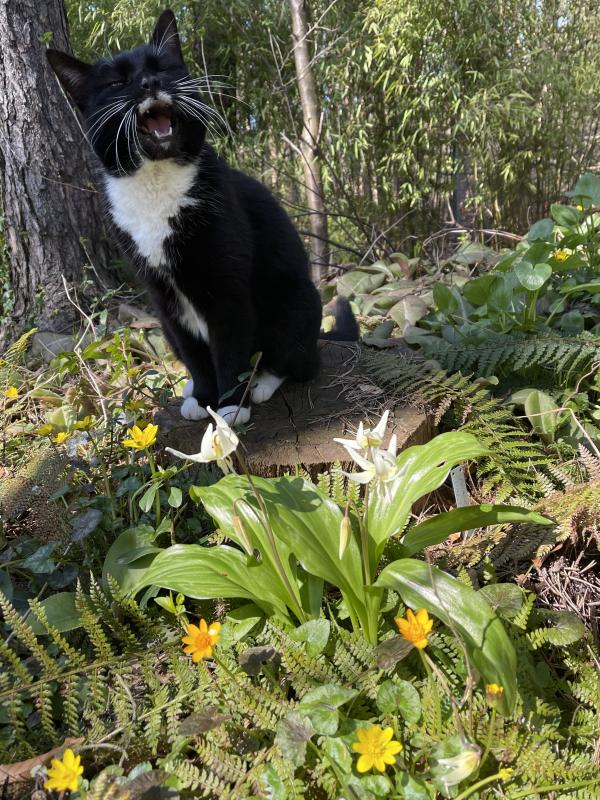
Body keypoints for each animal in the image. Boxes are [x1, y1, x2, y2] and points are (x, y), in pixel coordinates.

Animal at [47, 9, 358, 425]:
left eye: (162, 67)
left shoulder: (226, 286)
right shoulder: (162, 296)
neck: (156, 185)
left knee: (299, 361)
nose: (149, 82)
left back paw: (262, 382)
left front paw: (229, 405)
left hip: (295, 301)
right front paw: (203, 395)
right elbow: (194, 351)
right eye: (116, 82)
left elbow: (229, 348)